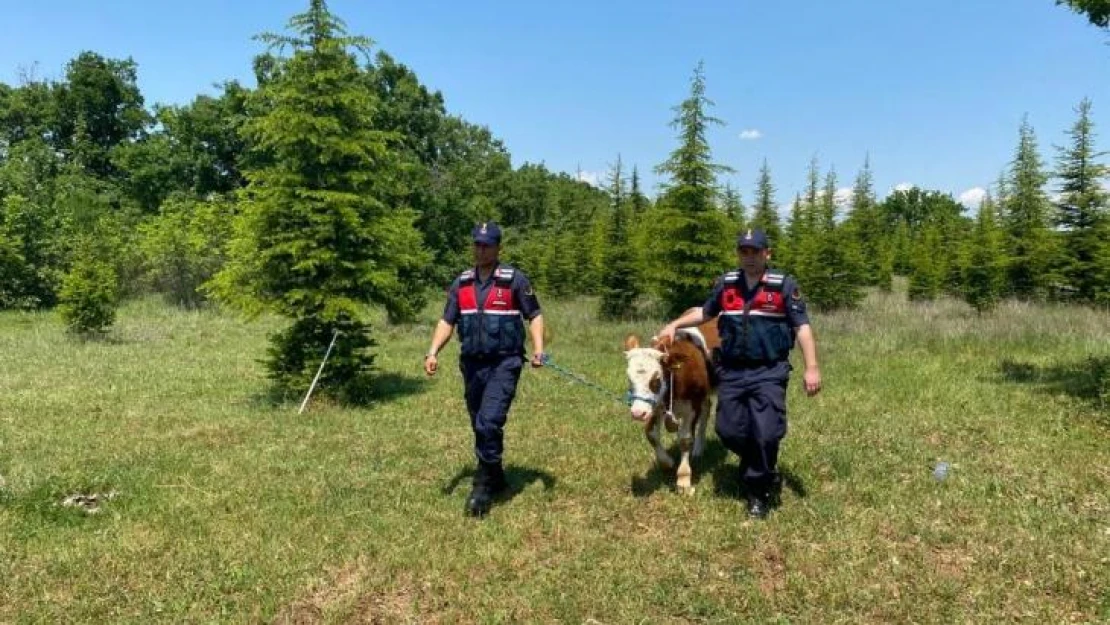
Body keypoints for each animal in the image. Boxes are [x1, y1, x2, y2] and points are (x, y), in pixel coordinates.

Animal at [626, 319, 719, 497]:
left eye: (656, 378)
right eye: (629, 378)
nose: (637, 413)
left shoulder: (692, 406)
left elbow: (685, 439)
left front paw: (683, 480)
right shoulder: (656, 405)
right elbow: (651, 434)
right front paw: (666, 462)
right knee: (707, 408)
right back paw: (699, 449)